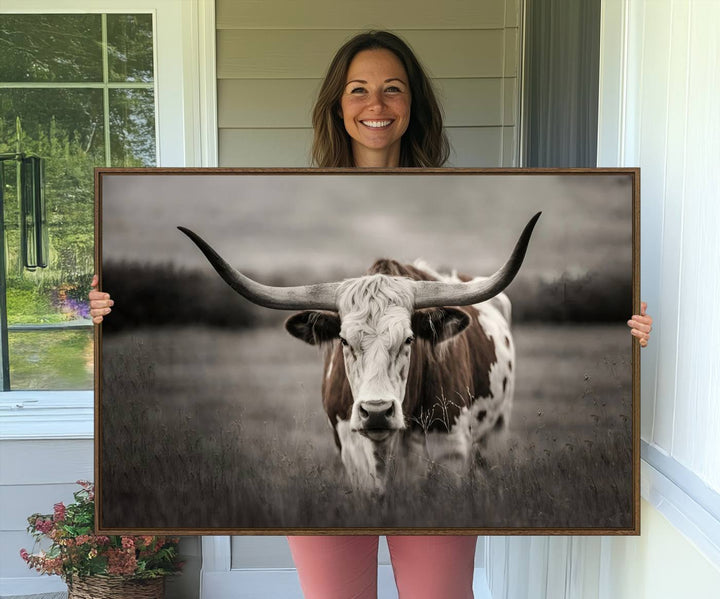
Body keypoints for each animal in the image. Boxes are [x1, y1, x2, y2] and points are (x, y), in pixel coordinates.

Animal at [179, 213, 540, 494]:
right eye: (343, 340)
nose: (376, 411)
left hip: (495, 435)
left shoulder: (450, 448)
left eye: (409, 339)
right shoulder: (352, 452)